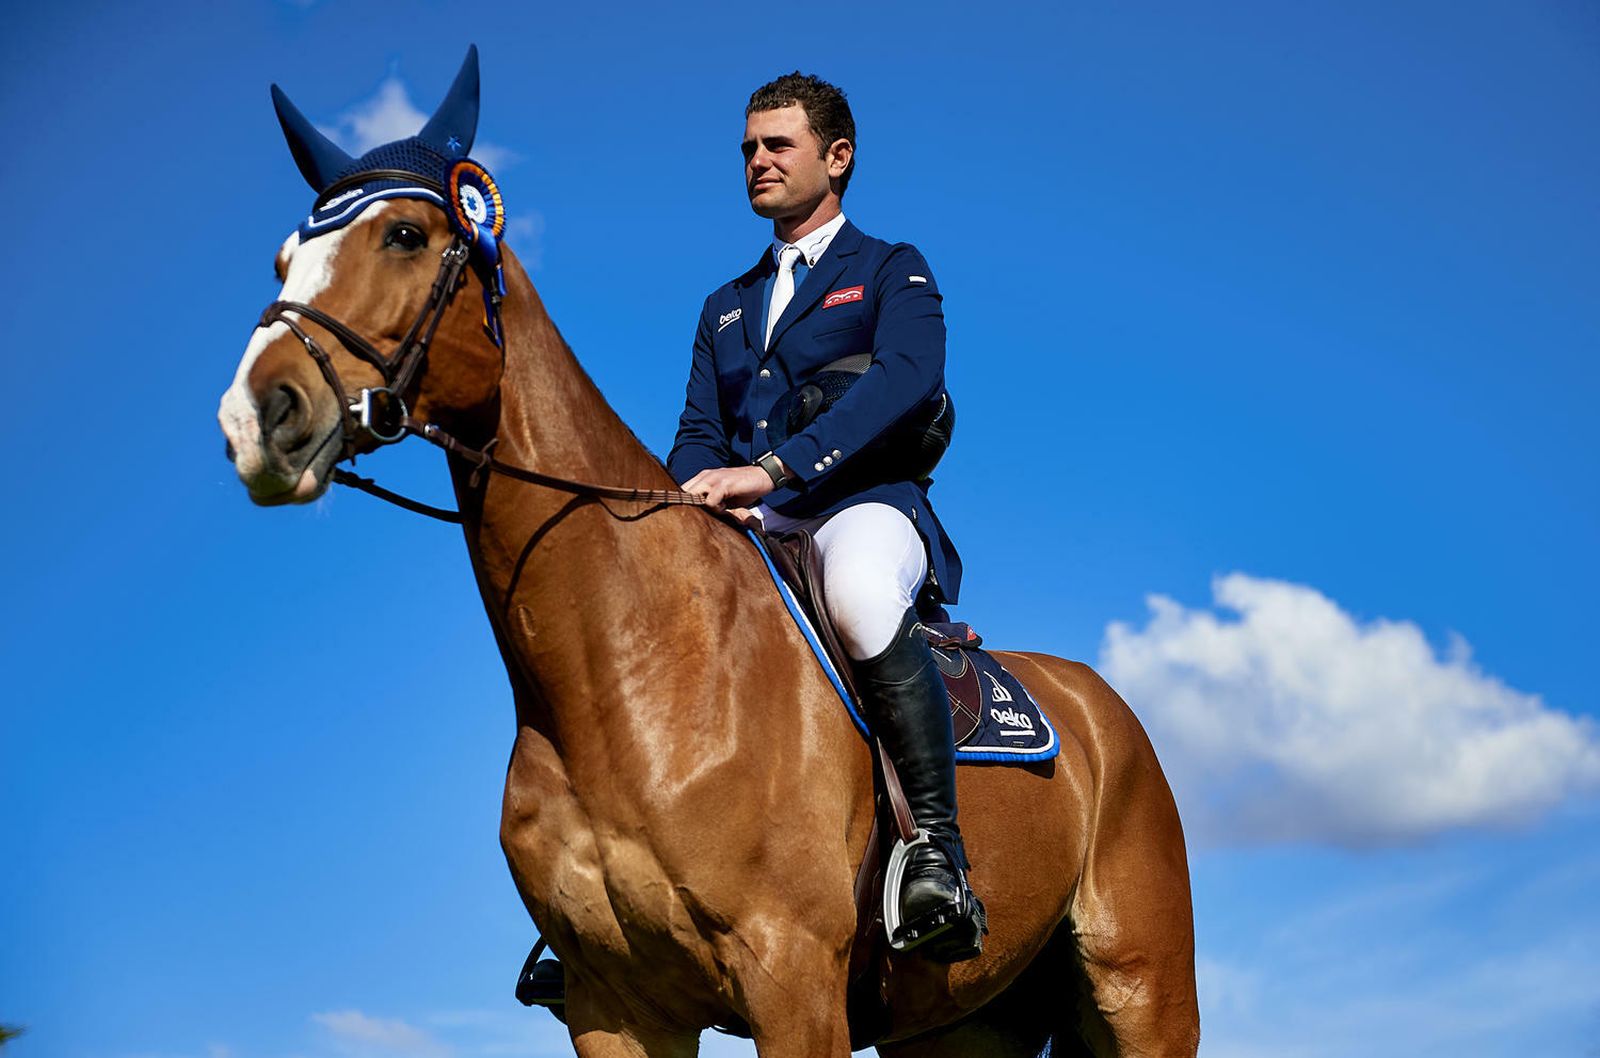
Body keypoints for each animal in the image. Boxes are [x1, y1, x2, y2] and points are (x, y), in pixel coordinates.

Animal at [219, 48, 1200, 1058]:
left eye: (407, 235)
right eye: (284, 259)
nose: (256, 416)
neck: (620, 674)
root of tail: (1101, 709)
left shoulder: (793, 981)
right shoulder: (614, 1006)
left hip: (1145, 993)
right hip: (967, 1024)